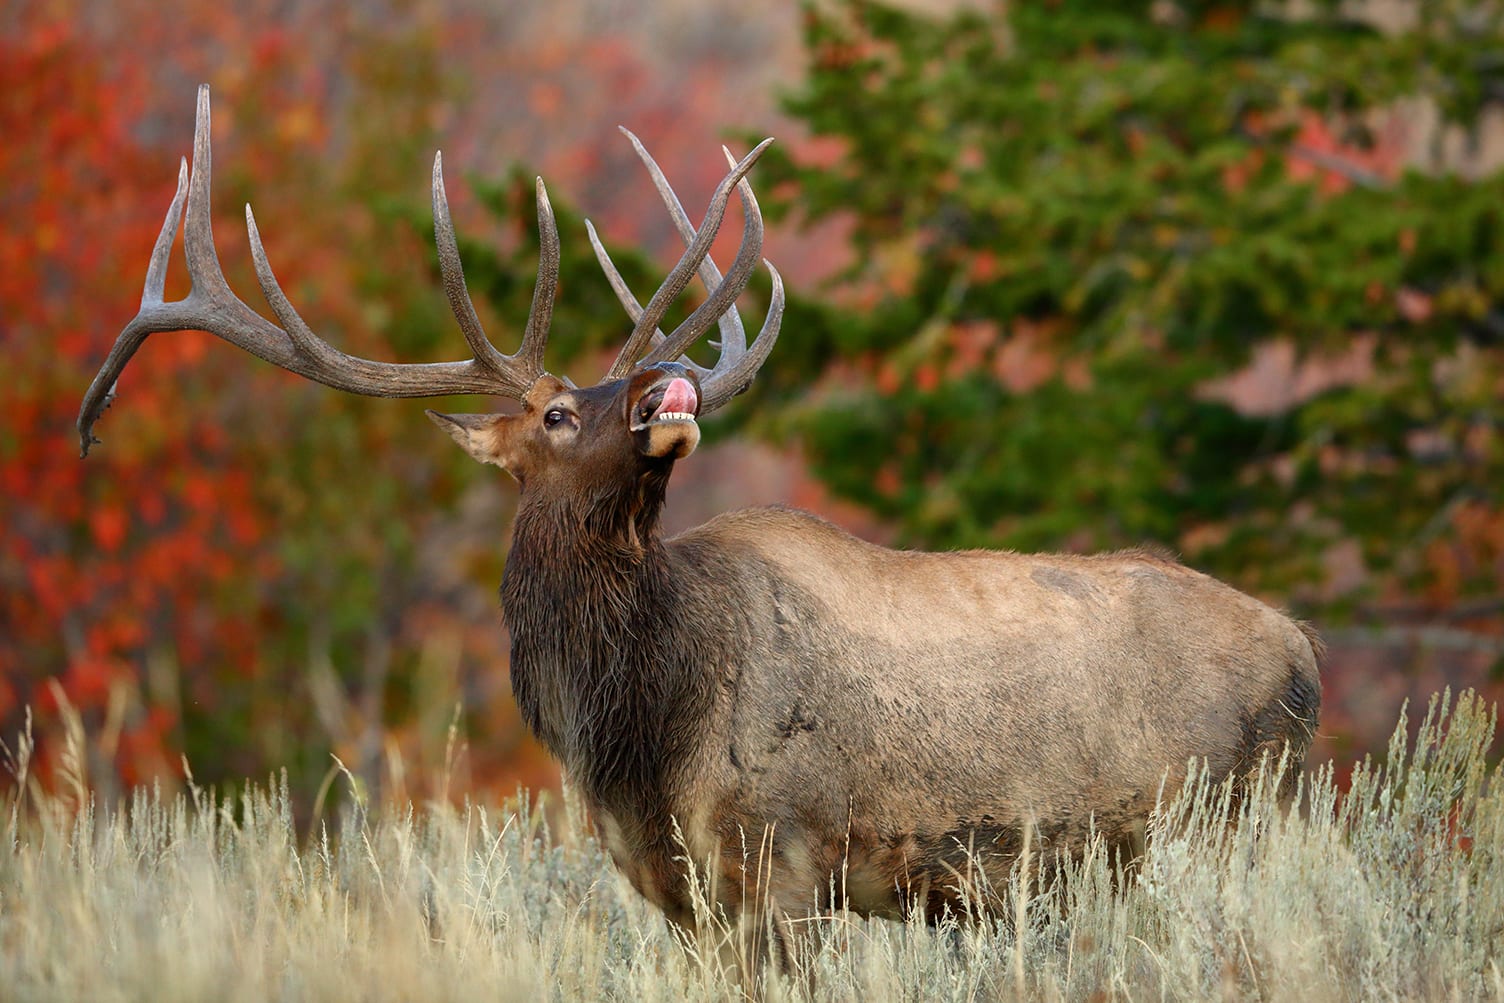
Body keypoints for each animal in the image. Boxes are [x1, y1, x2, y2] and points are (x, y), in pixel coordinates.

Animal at [81, 86, 1321, 975]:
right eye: (556, 411)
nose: (663, 384)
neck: (636, 718)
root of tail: (1303, 650)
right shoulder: (671, 883)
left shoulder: (783, 853)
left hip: (1211, 822)